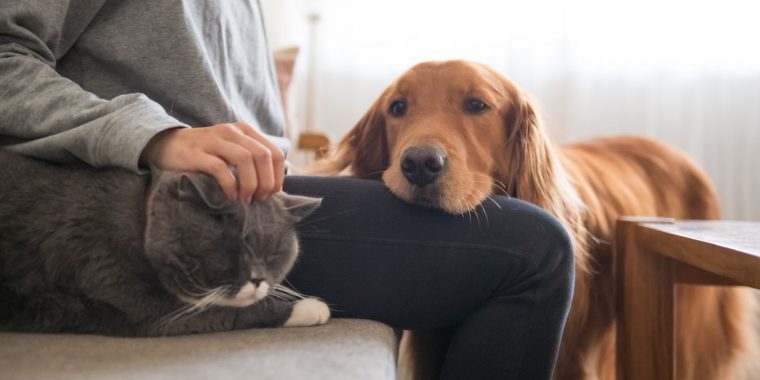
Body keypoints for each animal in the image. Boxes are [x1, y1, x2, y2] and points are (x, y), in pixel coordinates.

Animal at [0, 151, 328, 336]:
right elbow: (230, 312)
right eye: (234, 250)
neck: (140, 220)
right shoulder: (142, 306)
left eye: (274, 253)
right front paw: (311, 308)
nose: (258, 279)